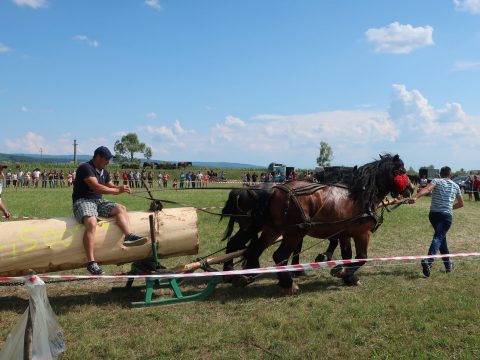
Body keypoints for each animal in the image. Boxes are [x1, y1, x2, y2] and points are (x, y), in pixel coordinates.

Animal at [242, 153, 406, 294]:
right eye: (402, 171)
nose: (409, 189)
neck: (360, 197)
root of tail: (275, 190)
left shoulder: (344, 233)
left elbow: (347, 255)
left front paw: (347, 276)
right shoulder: (362, 233)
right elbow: (362, 257)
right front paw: (341, 271)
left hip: (272, 230)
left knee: (256, 249)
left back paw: (248, 275)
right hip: (294, 233)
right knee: (279, 256)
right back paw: (288, 285)